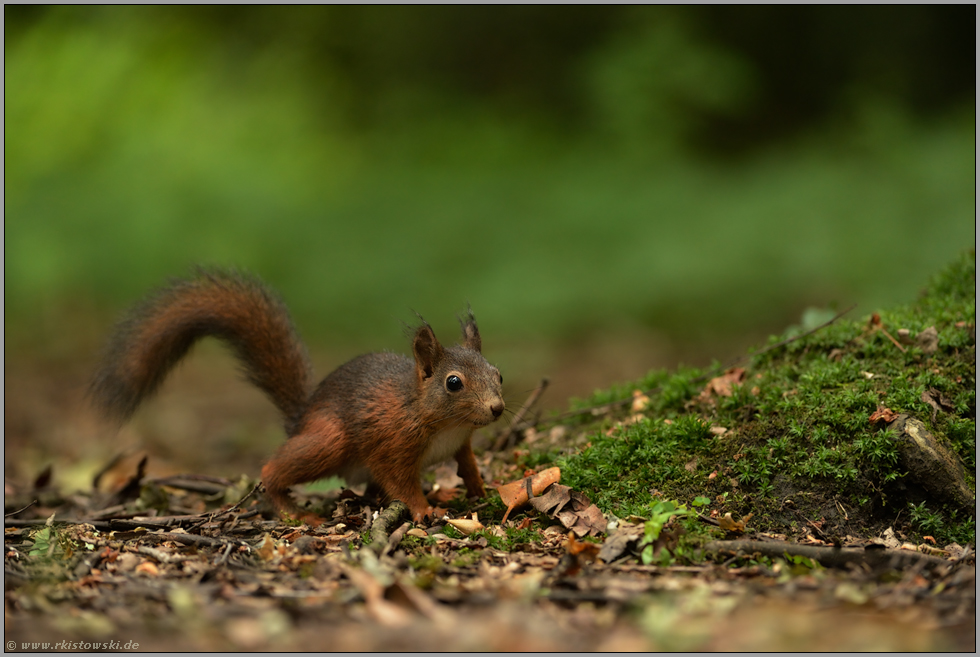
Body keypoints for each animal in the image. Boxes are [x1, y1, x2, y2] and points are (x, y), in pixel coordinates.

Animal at [90, 268, 506, 524]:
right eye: (454, 383)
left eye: (499, 374)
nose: (497, 409)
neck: (438, 419)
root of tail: (301, 416)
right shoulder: (392, 440)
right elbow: (401, 482)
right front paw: (423, 510)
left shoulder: (460, 443)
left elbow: (468, 463)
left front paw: (481, 488)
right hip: (329, 441)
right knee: (272, 470)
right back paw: (294, 512)